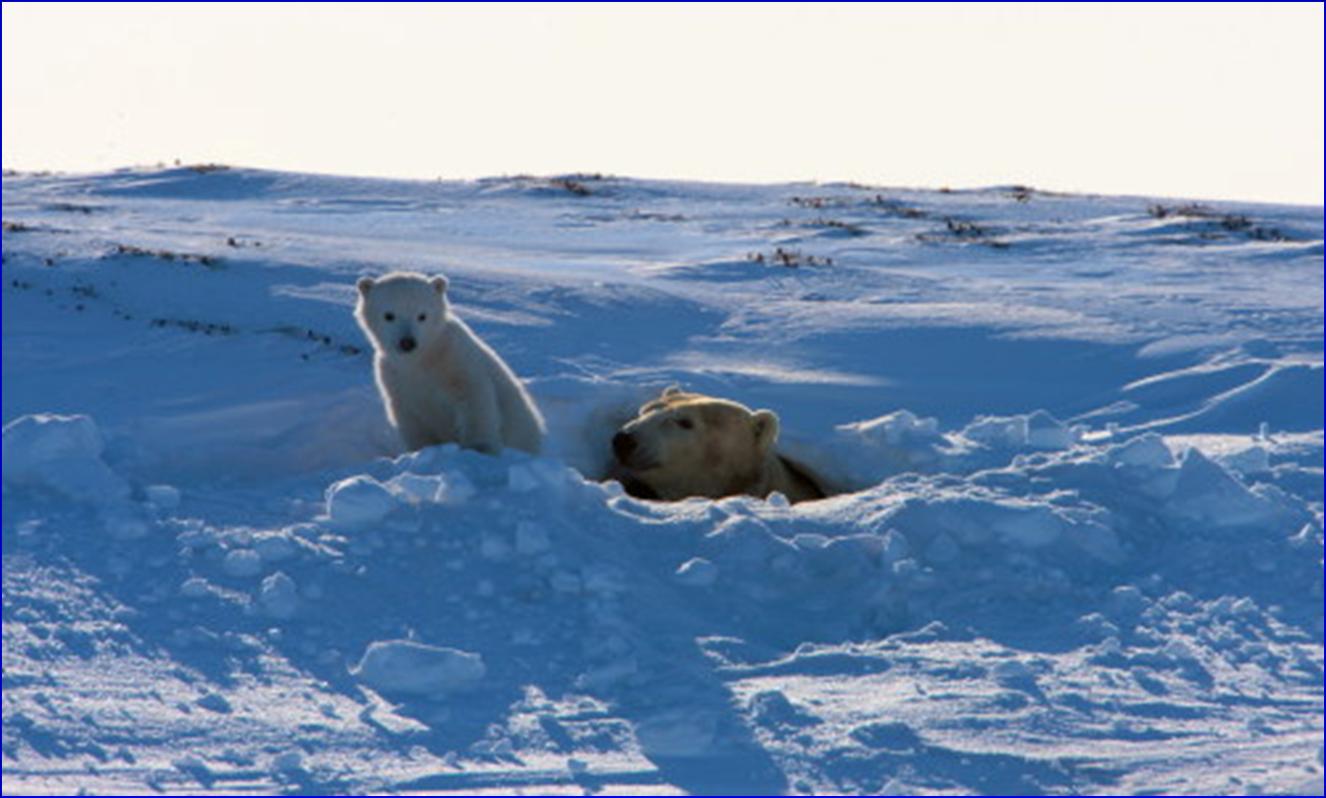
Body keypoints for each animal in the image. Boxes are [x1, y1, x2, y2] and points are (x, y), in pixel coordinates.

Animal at [352, 270, 543, 450]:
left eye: (422, 315)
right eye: (389, 315)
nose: (407, 343)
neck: (423, 358)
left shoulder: (456, 360)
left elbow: (475, 399)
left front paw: (479, 447)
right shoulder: (395, 378)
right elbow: (411, 420)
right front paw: (420, 449)